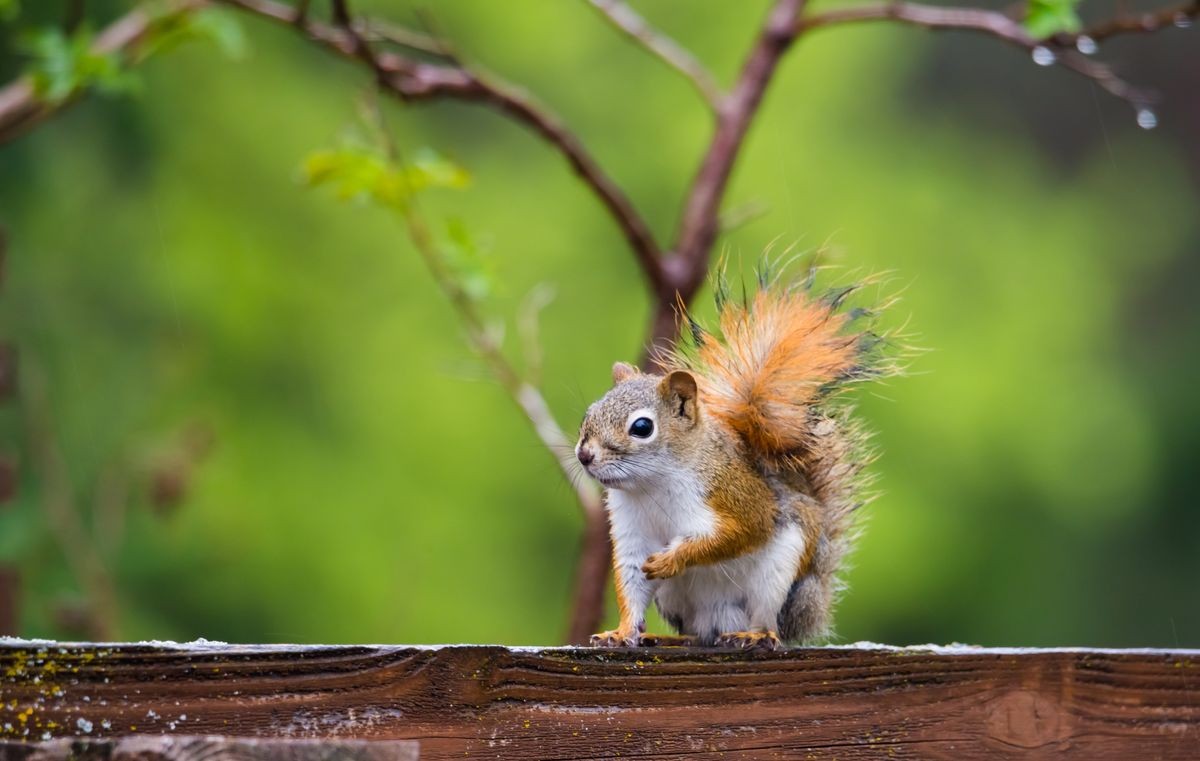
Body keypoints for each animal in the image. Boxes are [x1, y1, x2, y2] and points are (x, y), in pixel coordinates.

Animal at [576, 266, 897, 648]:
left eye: (642, 427)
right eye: (589, 414)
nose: (584, 455)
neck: (650, 487)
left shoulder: (736, 496)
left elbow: (742, 532)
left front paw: (673, 560)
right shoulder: (632, 534)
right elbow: (632, 585)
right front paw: (621, 633)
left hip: (778, 578)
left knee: (768, 622)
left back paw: (755, 635)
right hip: (678, 602)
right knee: (697, 634)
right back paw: (671, 638)